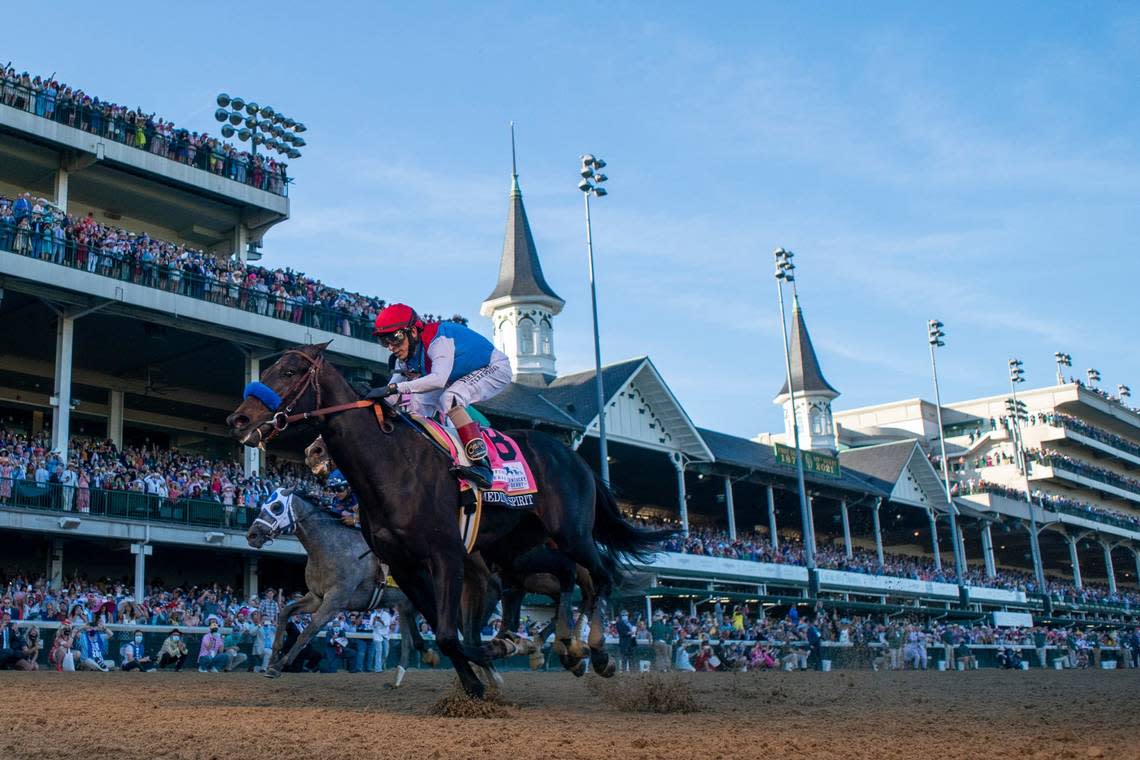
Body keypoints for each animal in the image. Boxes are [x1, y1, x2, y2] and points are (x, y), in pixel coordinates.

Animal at [247, 489, 437, 688]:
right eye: (263, 505)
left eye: (276, 506)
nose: (252, 535)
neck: (331, 547)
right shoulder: (317, 597)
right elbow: (285, 612)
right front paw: (272, 659)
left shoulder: (335, 602)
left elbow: (308, 631)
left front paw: (278, 666)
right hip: (405, 605)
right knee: (411, 640)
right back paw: (401, 676)